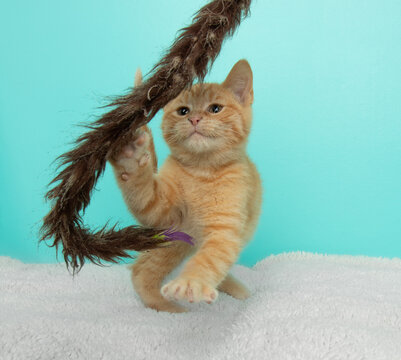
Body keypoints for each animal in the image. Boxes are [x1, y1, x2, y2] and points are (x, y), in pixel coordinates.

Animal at [109, 59, 262, 312]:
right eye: (183, 111)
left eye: (215, 108)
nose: (195, 119)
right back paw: (168, 308)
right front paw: (130, 158)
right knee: (142, 270)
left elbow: (210, 258)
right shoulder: (162, 213)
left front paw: (192, 282)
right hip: (175, 240)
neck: (201, 172)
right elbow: (143, 194)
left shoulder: (225, 230)